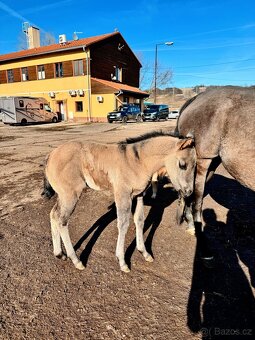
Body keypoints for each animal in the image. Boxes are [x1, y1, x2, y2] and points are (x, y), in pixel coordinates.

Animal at [42, 131, 196, 272]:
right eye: (182, 164)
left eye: (195, 165)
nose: (189, 192)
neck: (138, 162)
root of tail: (50, 156)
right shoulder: (123, 195)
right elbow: (123, 224)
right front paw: (122, 262)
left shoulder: (138, 195)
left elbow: (140, 220)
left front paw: (144, 253)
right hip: (71, 195)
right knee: (62, 221)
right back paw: (76, 260)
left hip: (63, 195)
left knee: (54, 215)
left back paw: (59, 254)